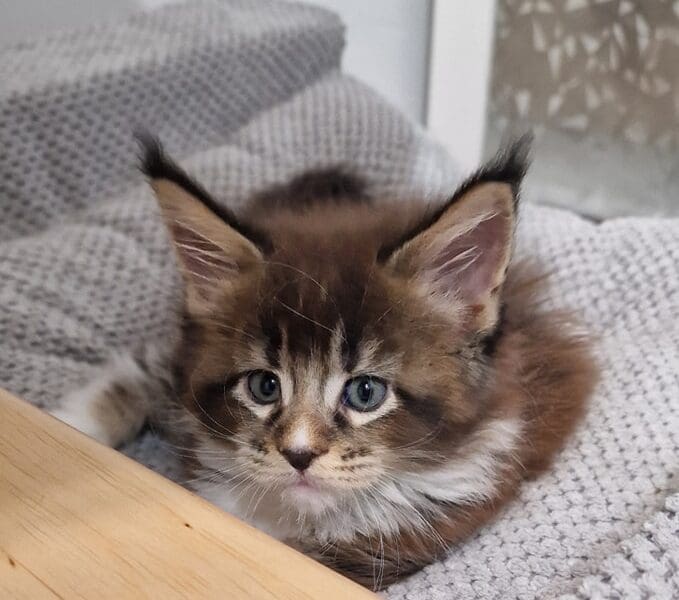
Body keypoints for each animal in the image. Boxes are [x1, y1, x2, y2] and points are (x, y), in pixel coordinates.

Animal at [51, 137, 596, 592]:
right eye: (264, 386)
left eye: (365, 393)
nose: (298, 454)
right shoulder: (177, 362)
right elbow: (125, 381)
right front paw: (63, 431)